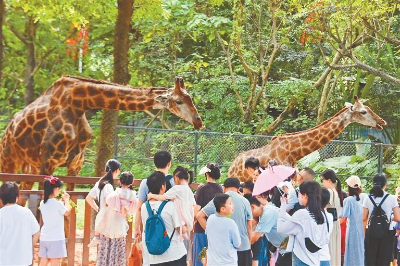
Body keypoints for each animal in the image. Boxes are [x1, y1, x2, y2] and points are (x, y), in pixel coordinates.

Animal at [0, 75, 202, 189]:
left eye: (191, 98)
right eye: (178, 101)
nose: (199, 121)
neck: (78, 105)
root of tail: (8, 130)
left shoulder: (75, 165)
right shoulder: (48, 161)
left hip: (29, 165)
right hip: (9, 160)